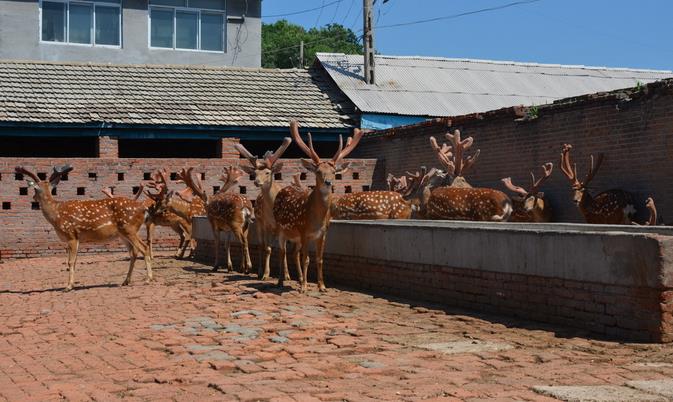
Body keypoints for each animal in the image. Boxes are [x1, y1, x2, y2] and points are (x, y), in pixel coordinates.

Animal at [15, 165, 152, 290]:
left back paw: (148, 279)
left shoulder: (71, 234)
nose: (33, 198)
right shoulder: (77, 238)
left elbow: (70, 261)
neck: (56, 215)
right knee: (133, 252)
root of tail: (143, 208)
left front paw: (68, 286)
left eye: (35, 189)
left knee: (144, 248)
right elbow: (74, 261)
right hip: (122, 234)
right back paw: (125, 281)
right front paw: (71, 284)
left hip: (129, 228)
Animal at [234, 137, 292, 280]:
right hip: (259, 223)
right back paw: (260, 271)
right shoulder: (266, 224)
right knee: (262, 245)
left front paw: (287, 275)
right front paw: (266, 274)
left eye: (267, 172)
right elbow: (268, 248)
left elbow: (284, 249)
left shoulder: (283, 226)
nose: (256, 181)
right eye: (255, 173)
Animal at [272, 119, 362, 292]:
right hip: (281, 229)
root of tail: (284, 189)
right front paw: (304, 287)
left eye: (334, 172)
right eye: (318, 171)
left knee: (293, 253)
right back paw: (281, 281)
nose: (328, 182)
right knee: (282, 252)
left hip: (295, 236)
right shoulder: (304, 230)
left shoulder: (323, 233)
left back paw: (300, 279)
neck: (316, 219)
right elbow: (306, 259)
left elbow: (320, 259)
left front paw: (322, 286)